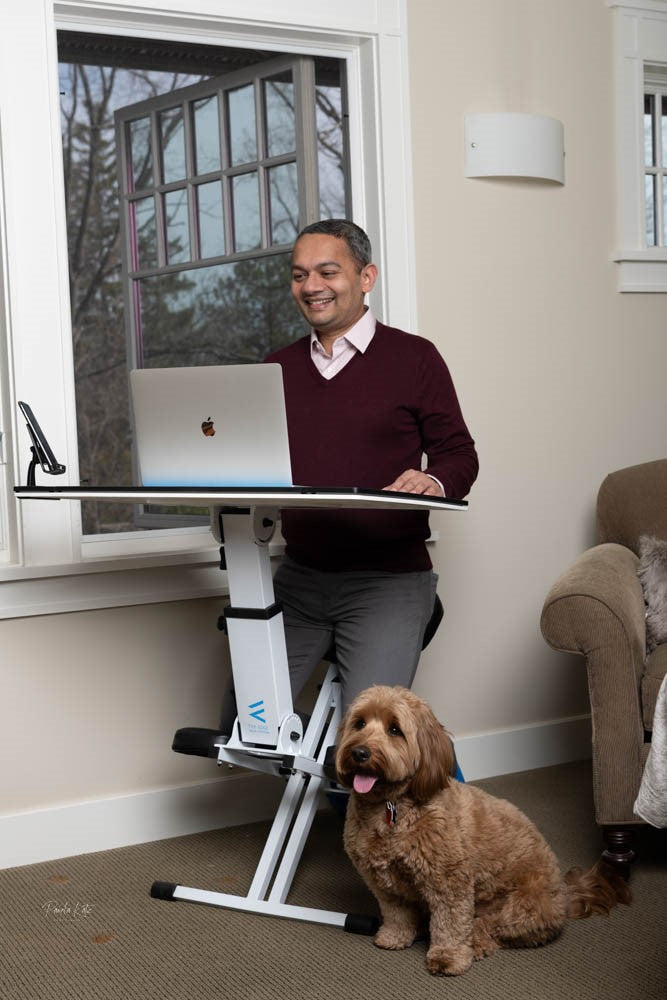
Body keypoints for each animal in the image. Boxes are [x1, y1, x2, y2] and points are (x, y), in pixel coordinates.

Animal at [336, 688, 628, 976]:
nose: (360, 752)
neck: (390, 805)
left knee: (489, 929)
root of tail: (565, 895)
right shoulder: (383, 884)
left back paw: (473, 944)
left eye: (395, 729)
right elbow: (397, 913)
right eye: (359, 723)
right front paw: (395, 936)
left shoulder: (449, 881)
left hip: (521, 908)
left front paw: (448, 957)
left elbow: (450, 923)